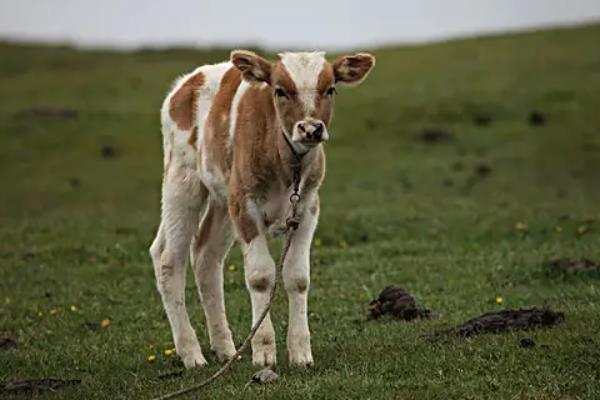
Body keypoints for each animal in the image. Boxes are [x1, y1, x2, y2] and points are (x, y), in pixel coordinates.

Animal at [150, 50, 376, 368]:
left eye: (330, 89)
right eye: (279, 90)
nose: (310, 128)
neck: (286, 163)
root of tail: (187, 82)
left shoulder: (307, 208)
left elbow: (298, 277)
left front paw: (300, 350)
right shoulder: (246, 206)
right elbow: (260, 277)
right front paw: (264, 350)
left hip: (223, 199)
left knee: (206, 255)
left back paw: (225, 348)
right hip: (183, 180)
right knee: (168, 259)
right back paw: (191, 353)